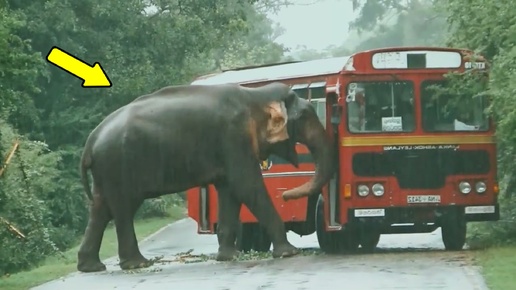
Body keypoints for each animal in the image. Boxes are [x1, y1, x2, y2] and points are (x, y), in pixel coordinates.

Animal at [76, 81, 334, 272]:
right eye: (305, 116)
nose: (287, 196)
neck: (256, 95)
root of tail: (91, 140)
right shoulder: (234, 137)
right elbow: (247, 185)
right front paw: (289, 253)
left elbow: (230, 191)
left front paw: (229, 257)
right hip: (117, 164)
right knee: (122, 208)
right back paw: (137, 264)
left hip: (107, 170)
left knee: (101, 208)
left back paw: (92, 267)